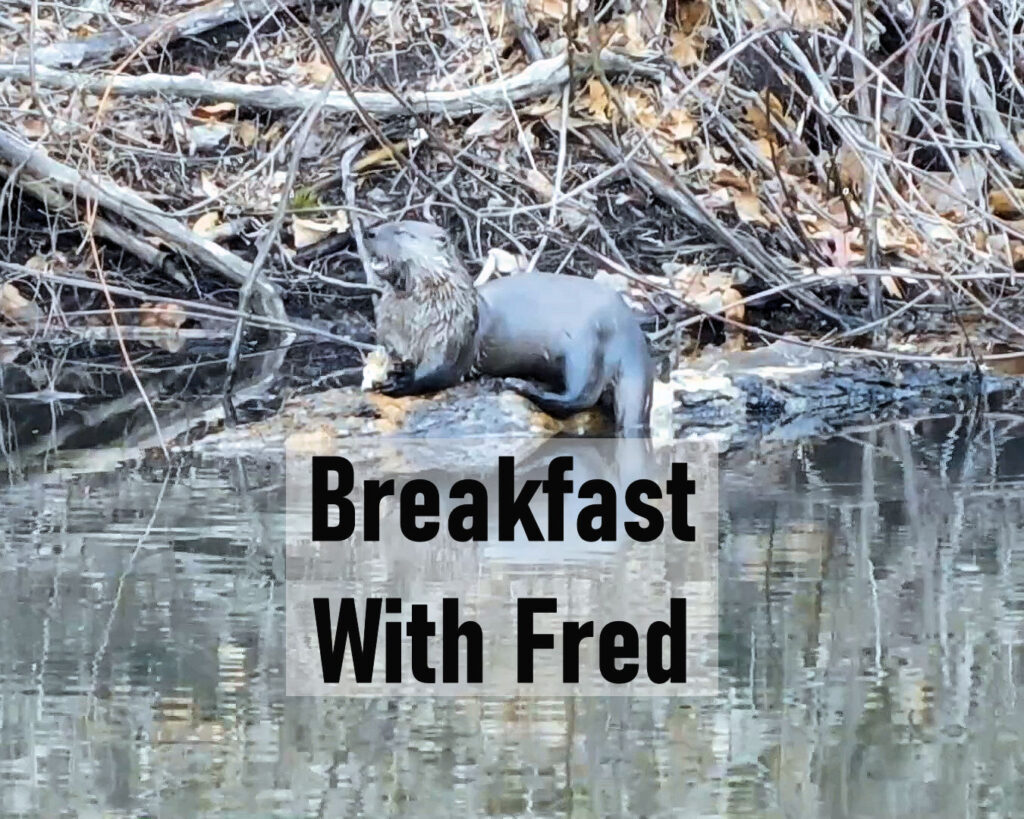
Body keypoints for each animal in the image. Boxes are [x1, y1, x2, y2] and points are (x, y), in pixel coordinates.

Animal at [368, 217, 655, 434]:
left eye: (402, 232)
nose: (370, 232)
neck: (414, 322)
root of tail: (632, 334)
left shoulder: (453, 336)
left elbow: (439, 372)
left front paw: (399, 382)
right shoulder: (393, 340)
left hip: (586, 347)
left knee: (581, 397)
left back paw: (520, 386)